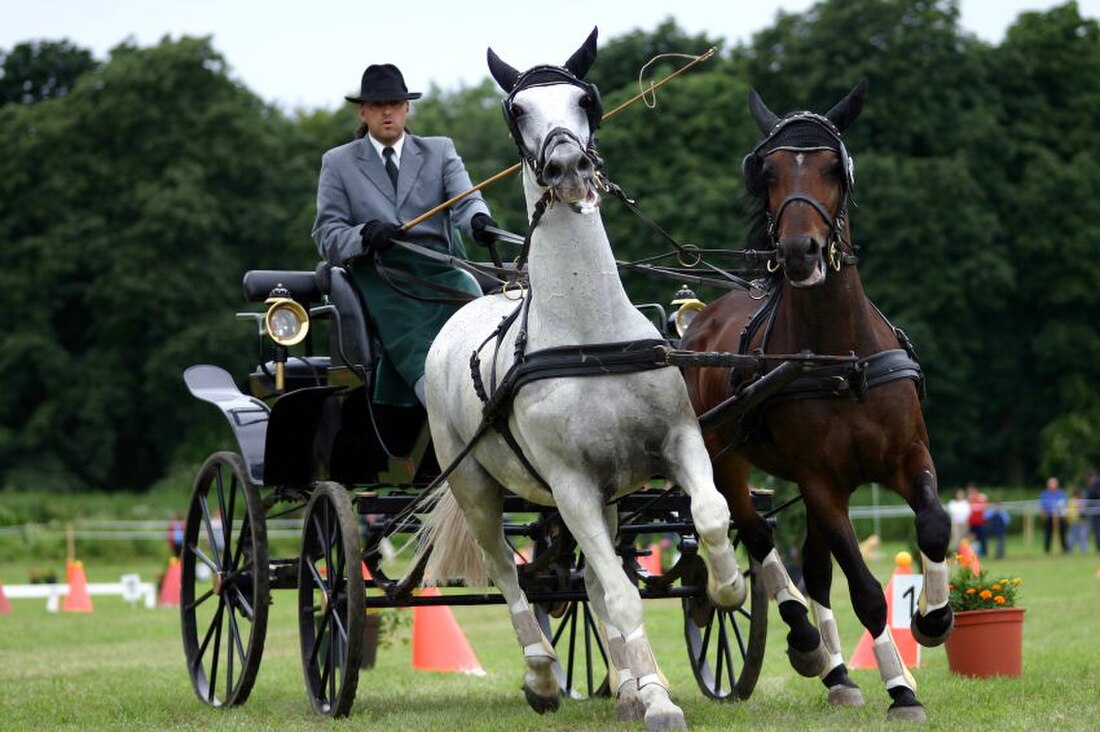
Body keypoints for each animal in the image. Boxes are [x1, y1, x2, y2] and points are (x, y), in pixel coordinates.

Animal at [420, 25, 748, 726]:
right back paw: (544, 676)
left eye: (586, 99)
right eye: (516, 110)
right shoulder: (569, 486)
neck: (590, 339)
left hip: (609, 497)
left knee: (592, 580)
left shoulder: (676, 444)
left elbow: (707, 515)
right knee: (508, 573)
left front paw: (724, 589)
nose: (568, 168)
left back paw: (629, 686)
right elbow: (622, 596)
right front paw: (660, 705)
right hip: (479, 487)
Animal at [677, 81, 954, 717]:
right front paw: (901, 688)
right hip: (725, 459)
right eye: (769, 171)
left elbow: (933, 525)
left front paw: (933, 618)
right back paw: (806, 640)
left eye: (833, 167)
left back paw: (838, 673)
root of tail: (697, 321)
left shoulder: (907, 455)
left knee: (814, 567)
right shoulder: (820, 481)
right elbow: (867, 591)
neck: (840, 358)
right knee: (759, 538)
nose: (801, 251)